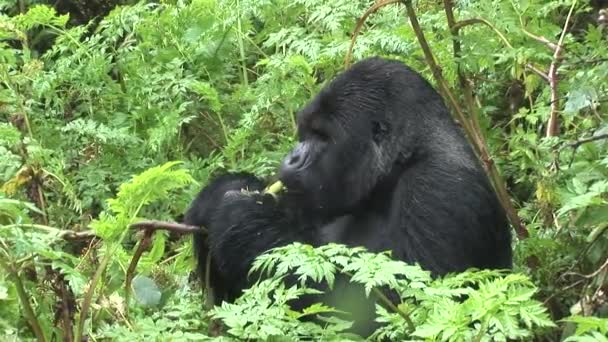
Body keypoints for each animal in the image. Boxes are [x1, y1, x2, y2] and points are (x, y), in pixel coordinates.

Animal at [184, 55, 512, 334]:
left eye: (323, 137)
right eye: (305, 132)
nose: (292, 158)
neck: (399, 164)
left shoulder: (440, 189)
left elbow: (399, 309)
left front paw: (242, 221)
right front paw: (220, 194)